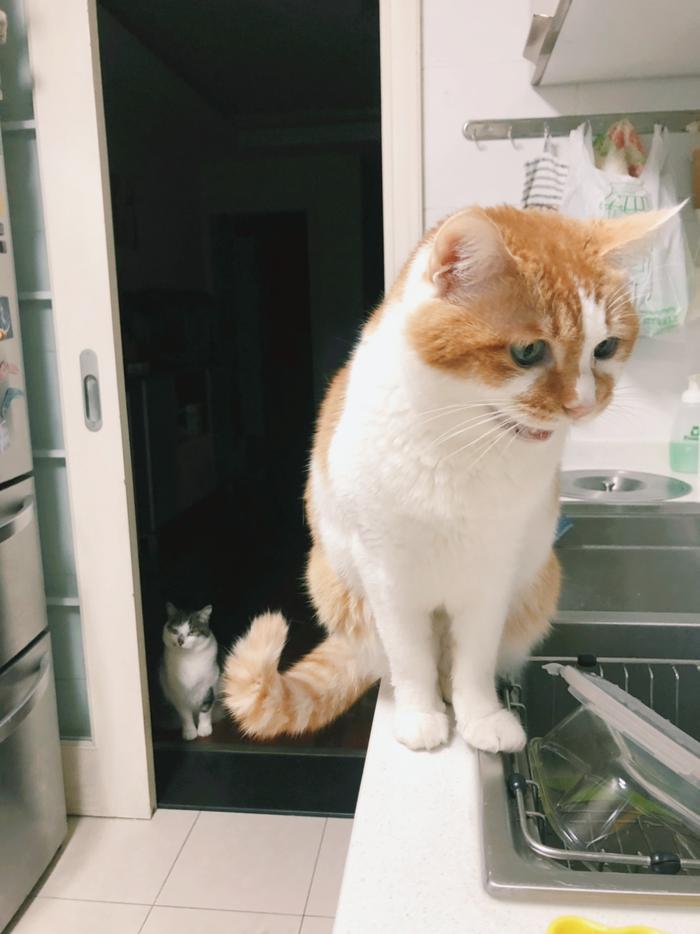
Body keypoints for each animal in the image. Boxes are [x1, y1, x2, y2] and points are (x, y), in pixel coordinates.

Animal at [159, 602, 220, 740]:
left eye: (192, 632)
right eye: (175, 631)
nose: (180, 641)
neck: (189, 658)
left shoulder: (209, 685)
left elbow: (205, 710)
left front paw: (204, 730)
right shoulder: (177, 692)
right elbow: (185, 714)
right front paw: (189, 732)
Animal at [222, 204, 678, 754]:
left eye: (606, 347)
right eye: (528, 352)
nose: (583, 405)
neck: (462, 446)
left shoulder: (492, 576)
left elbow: (474, 662)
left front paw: (480, 717)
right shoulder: (389, 577)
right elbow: (411, 660)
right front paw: (422, 717)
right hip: (335, 585)